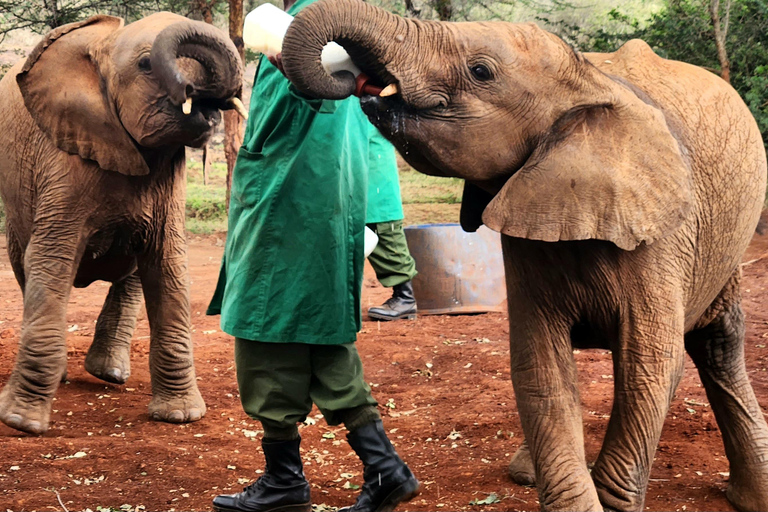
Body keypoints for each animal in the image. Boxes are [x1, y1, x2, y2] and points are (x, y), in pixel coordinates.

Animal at [0, 12, 243, 434]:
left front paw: (180, 417)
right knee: (24, 265)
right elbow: (50, 262)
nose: (193, 91)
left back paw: (109, 373)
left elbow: (167, 266)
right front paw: (21, 422)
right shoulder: (63, 160)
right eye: (146, 65)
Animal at [280, 0, 768, 510]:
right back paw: (525, 472)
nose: (350, 79)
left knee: (717, 343)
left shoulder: (661, 238)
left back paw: (752, 494)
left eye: (480, 71)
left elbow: (647, 369)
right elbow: (540, 365)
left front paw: (610, 503)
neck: (588, 80)